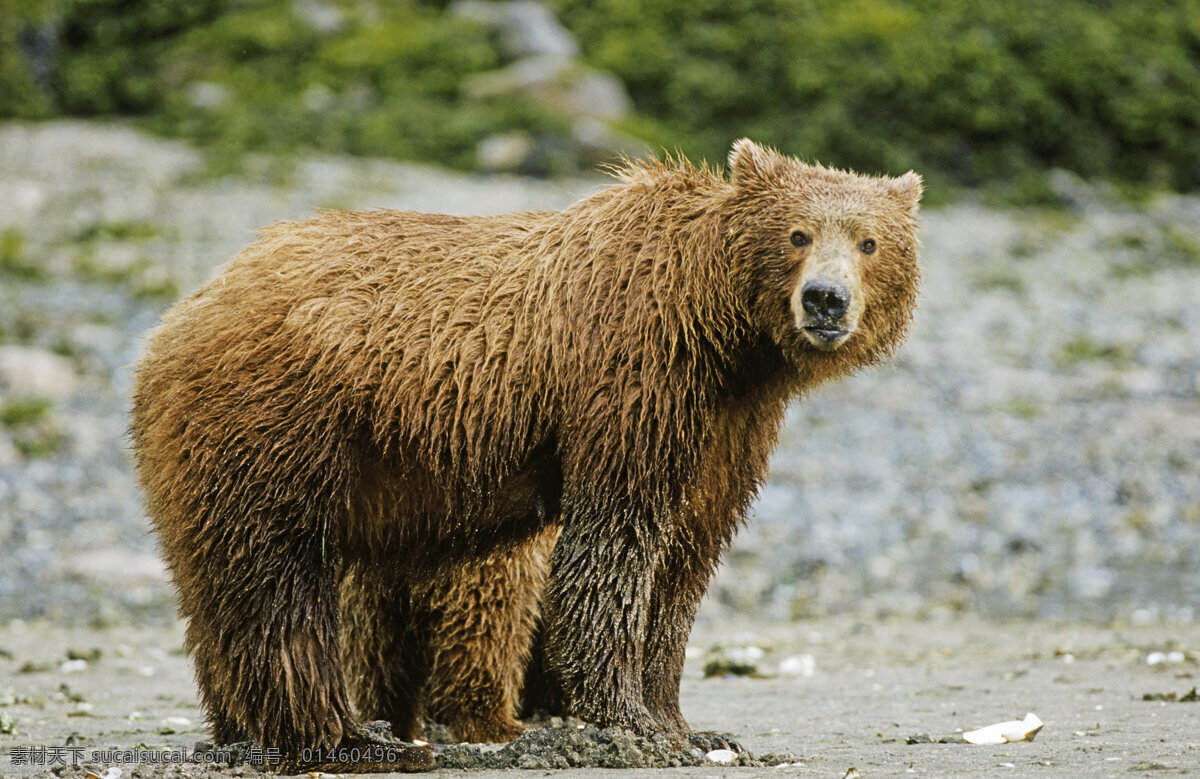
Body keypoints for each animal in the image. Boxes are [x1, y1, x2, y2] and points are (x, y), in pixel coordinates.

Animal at [129, 136, 916, 768]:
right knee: (280, 583)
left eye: (870, 242)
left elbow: (684, 561)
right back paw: (349, 734)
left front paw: (689, 726)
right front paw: (629, 721)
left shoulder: (728, 425)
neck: (721, 331)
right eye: (798, 233)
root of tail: (179, 316)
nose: (825, 299)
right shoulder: (633, 379)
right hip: (282, 424)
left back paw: (243, 730)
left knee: (220, 588)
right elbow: (614, 544)